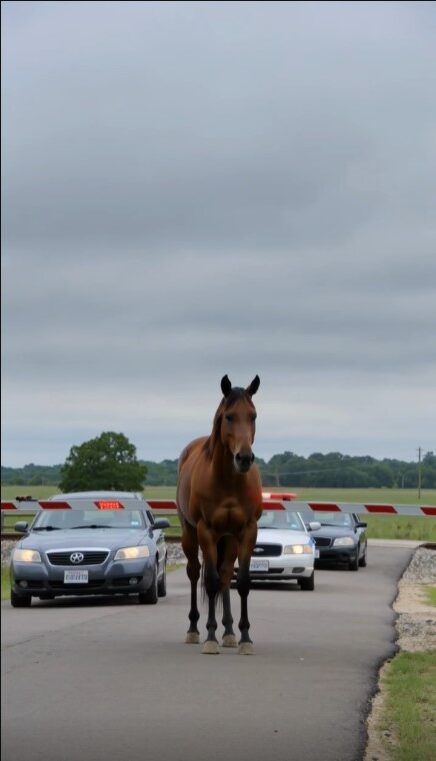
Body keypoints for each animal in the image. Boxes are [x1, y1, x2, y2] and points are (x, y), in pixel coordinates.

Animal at [176, 374, 263, 655]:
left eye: (253, 416)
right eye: (229, 417)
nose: (244, 458)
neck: (228, 482)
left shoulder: (247, 531)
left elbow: (241, 581)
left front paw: (244, 637)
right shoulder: (206, 531)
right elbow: (211, 581)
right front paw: (211, 637)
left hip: (229, 539)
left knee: (225, 575)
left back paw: (229, 631)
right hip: (190, 534)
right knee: (196, 573)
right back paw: (195, 629)